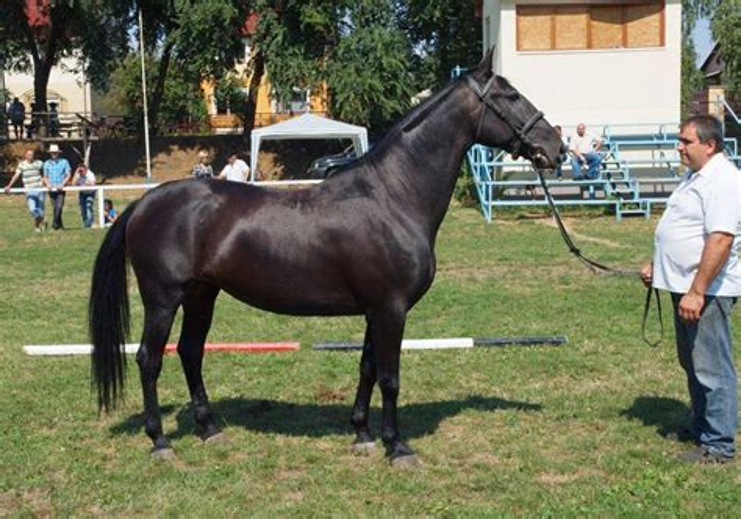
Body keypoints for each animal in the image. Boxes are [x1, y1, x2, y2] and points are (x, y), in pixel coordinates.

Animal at [89, 51, 565, 466]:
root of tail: (144, 203)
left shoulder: (377, 310)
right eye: (510, 95)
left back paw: (209, 429)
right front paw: (397, 447)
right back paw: (160, 442)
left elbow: (368, 368)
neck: (394, 196)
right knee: (150, 359)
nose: (556, 146)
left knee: (190, 352)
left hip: (202, 295)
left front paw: (363, 435)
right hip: (163, 300)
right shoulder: (391, 309)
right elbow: (390, 378)